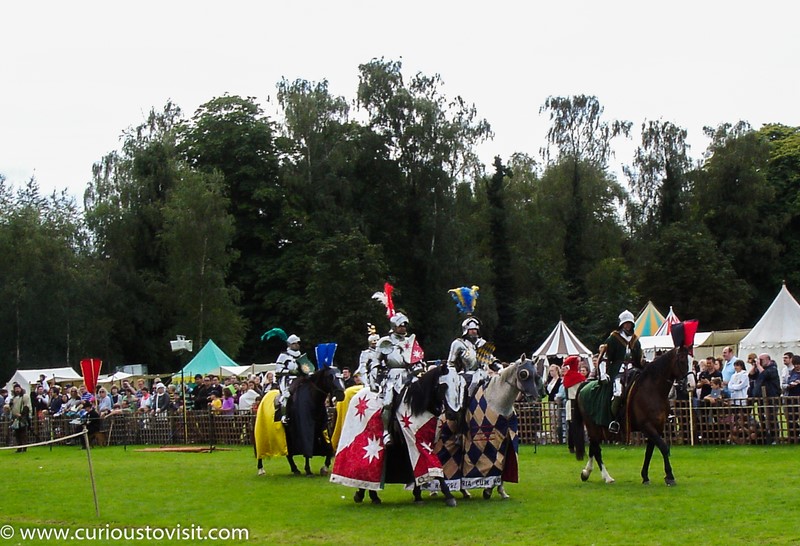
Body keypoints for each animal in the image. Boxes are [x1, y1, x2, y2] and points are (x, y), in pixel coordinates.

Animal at [572, 344, 692, 484]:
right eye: (682, 360)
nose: (691, 384)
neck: (653, 390)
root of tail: (585, 384)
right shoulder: (647, 427)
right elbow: (663, 447)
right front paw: (669, 476)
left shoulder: (657, 427)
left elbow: (649, 452)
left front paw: (645, 476)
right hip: (592, 426)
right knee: (596, 449)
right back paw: (607, 477)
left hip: (597, 428)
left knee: (593, 446)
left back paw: (586, 472)